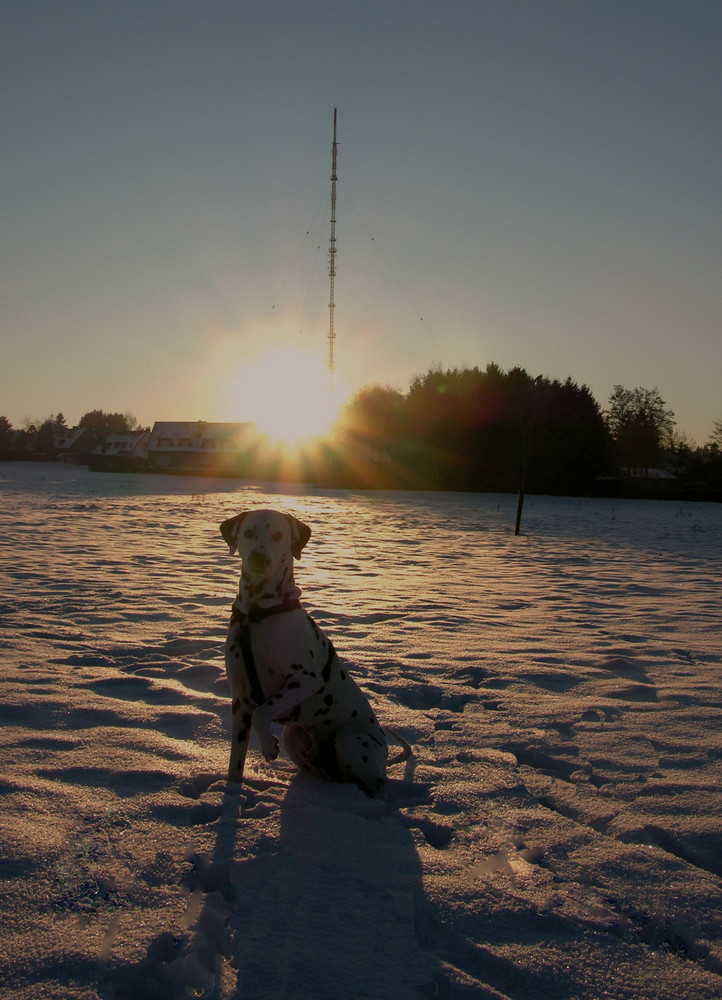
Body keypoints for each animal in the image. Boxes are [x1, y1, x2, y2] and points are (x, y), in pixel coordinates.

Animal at [221, 512, 400, 792]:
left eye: (278, 536)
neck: (257, 614)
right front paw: (231, 795)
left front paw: (268, 747)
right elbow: (235, 764)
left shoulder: (304, 680)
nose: (259, 559)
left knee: (375, 784)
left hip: (349, 737)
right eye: (248, 532)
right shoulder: (240, 702)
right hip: (294, 737)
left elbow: (263, 711)